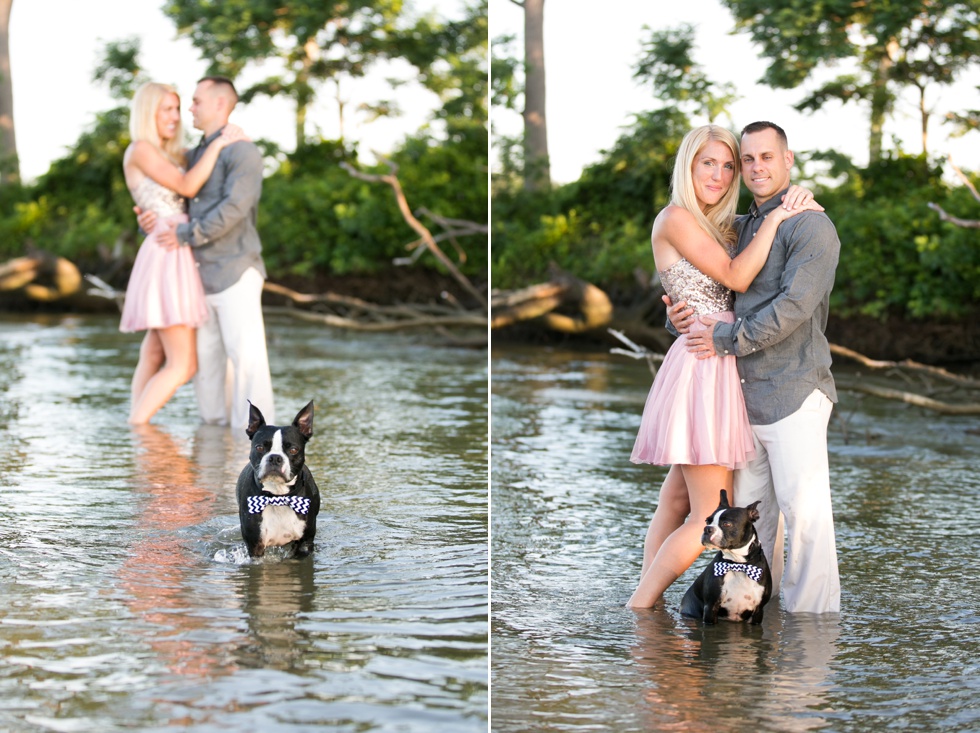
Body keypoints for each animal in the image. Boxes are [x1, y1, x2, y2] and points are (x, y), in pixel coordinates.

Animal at [235, 400, 320, 556]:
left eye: (293, 450)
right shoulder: (255, 545)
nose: (275, 457)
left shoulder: (305, 543)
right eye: (259, 448)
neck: (278, 496)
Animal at [680, 492, 772, 624]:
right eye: (707, 521)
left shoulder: (758, 612)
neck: (738, 563)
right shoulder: (710, 607)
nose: (707, 529)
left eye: (727, 524)